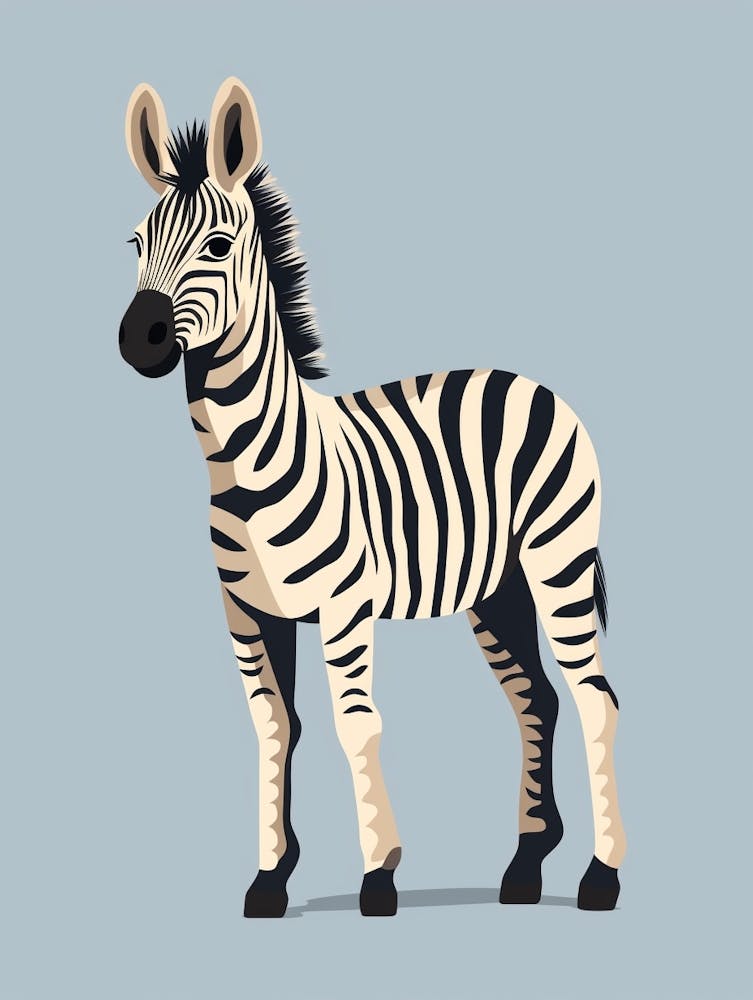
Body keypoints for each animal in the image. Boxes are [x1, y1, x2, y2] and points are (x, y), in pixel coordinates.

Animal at [119, 77, 626, 918]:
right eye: (134, 243)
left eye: (218, 247)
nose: (139, 341)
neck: (243, 463)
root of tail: (526, 380)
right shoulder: (248, 614)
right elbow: (273, 729)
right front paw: (269, 879)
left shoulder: (344, 607)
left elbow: (355, 725)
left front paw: (378, 875)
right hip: (497, 591)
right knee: (536, 700)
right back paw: (524, 867)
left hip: (557, 563)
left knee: (592, 699)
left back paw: (600, 876)